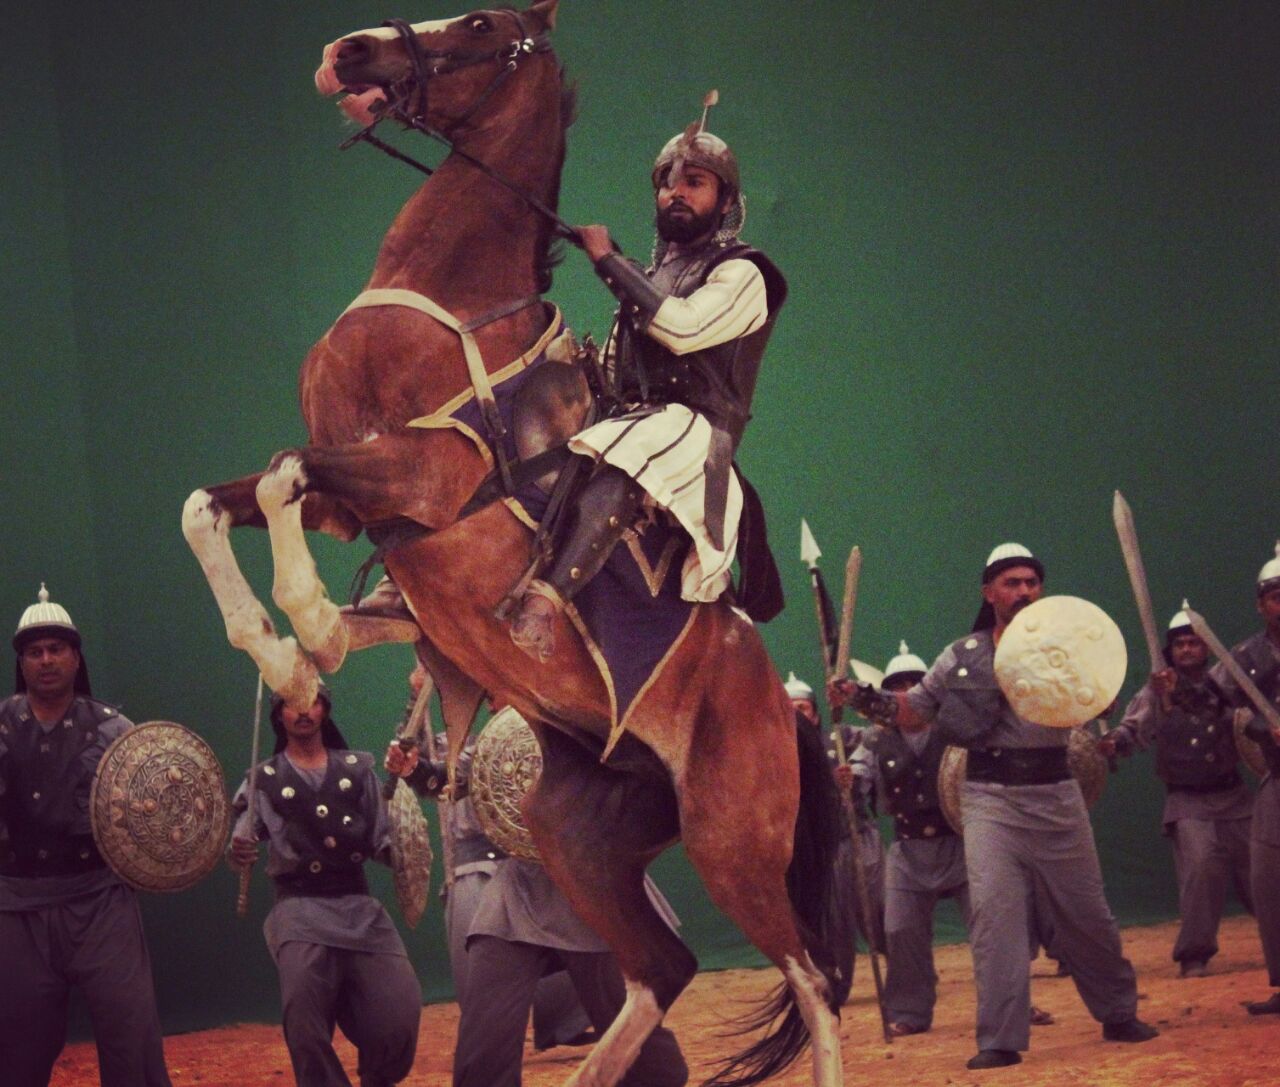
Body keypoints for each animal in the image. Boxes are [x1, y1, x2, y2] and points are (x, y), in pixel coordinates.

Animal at [181, 5, 846, 1084]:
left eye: (481, 23)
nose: (347, 51)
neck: (442, 295)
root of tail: (785, 710)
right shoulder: (357, 509)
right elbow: (211, 504)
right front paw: (285, 647)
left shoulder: (414, 477)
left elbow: (284, 475)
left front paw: (308, 626)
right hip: (576, 830)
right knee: (660, 969)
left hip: (733, 843)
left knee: (812, 979)